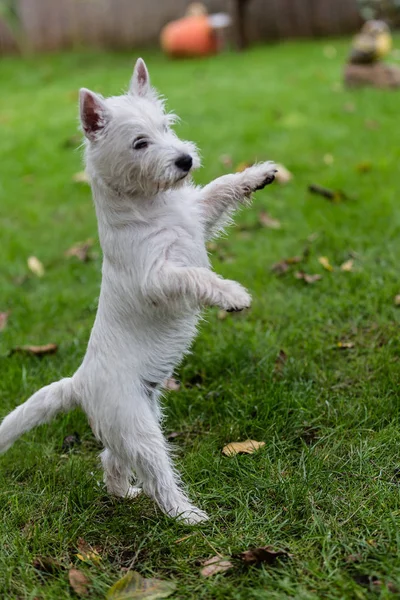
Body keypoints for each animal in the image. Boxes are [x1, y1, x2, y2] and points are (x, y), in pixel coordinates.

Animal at [0, 57, 276, 524]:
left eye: (166, 126)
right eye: (140, 143)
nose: (185, 160)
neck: (150, 205)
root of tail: (79, 382)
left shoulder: (198, 216)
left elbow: (220, 187)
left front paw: (259, 174)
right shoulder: (158, 275)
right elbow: (197, 277)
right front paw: (232, 296)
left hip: (137, 419)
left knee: (112, 459)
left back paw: (122, 493)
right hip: (138, 428)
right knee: (155, 474)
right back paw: (186, 515)